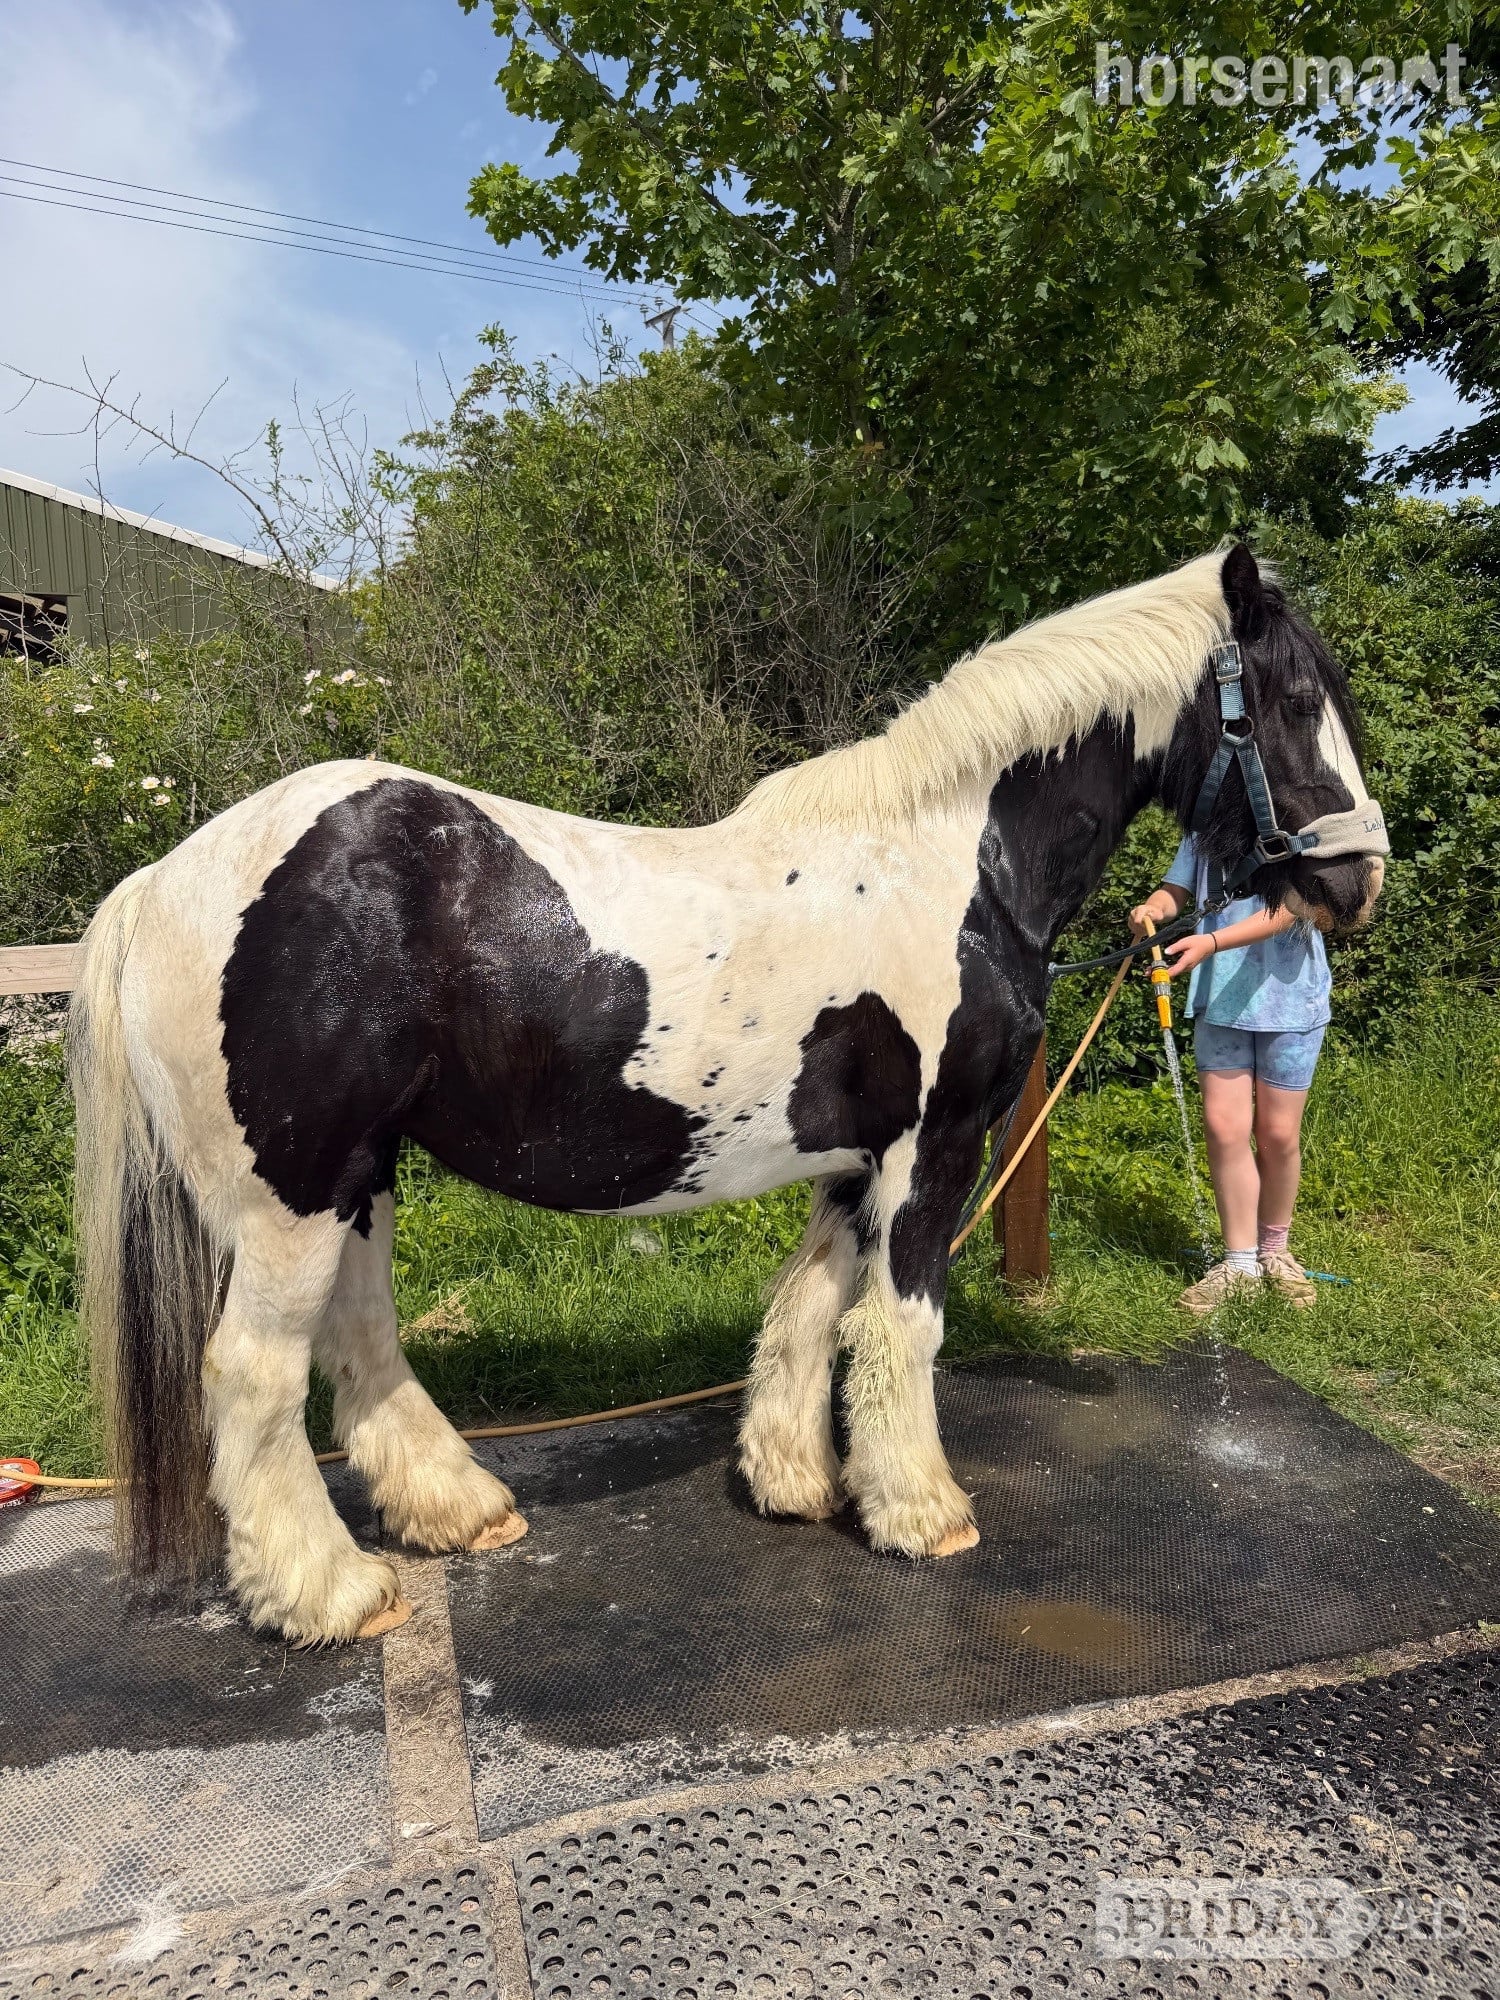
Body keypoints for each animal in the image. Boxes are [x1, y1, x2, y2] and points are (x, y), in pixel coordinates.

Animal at [68, 543, 1387, 1645]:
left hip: (359, 1177)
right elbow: (901, 1321)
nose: (1359, 878)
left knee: (358, 1335)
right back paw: (329, 1593)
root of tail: (164, 878)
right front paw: (921, 1510)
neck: (952, 861)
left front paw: (795, 1482)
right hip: (288, 1198)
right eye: (1293, 703)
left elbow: (809, 1310)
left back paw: (456, 1509)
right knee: (254, 1373)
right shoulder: (933, 1148)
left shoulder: (853, 1163)